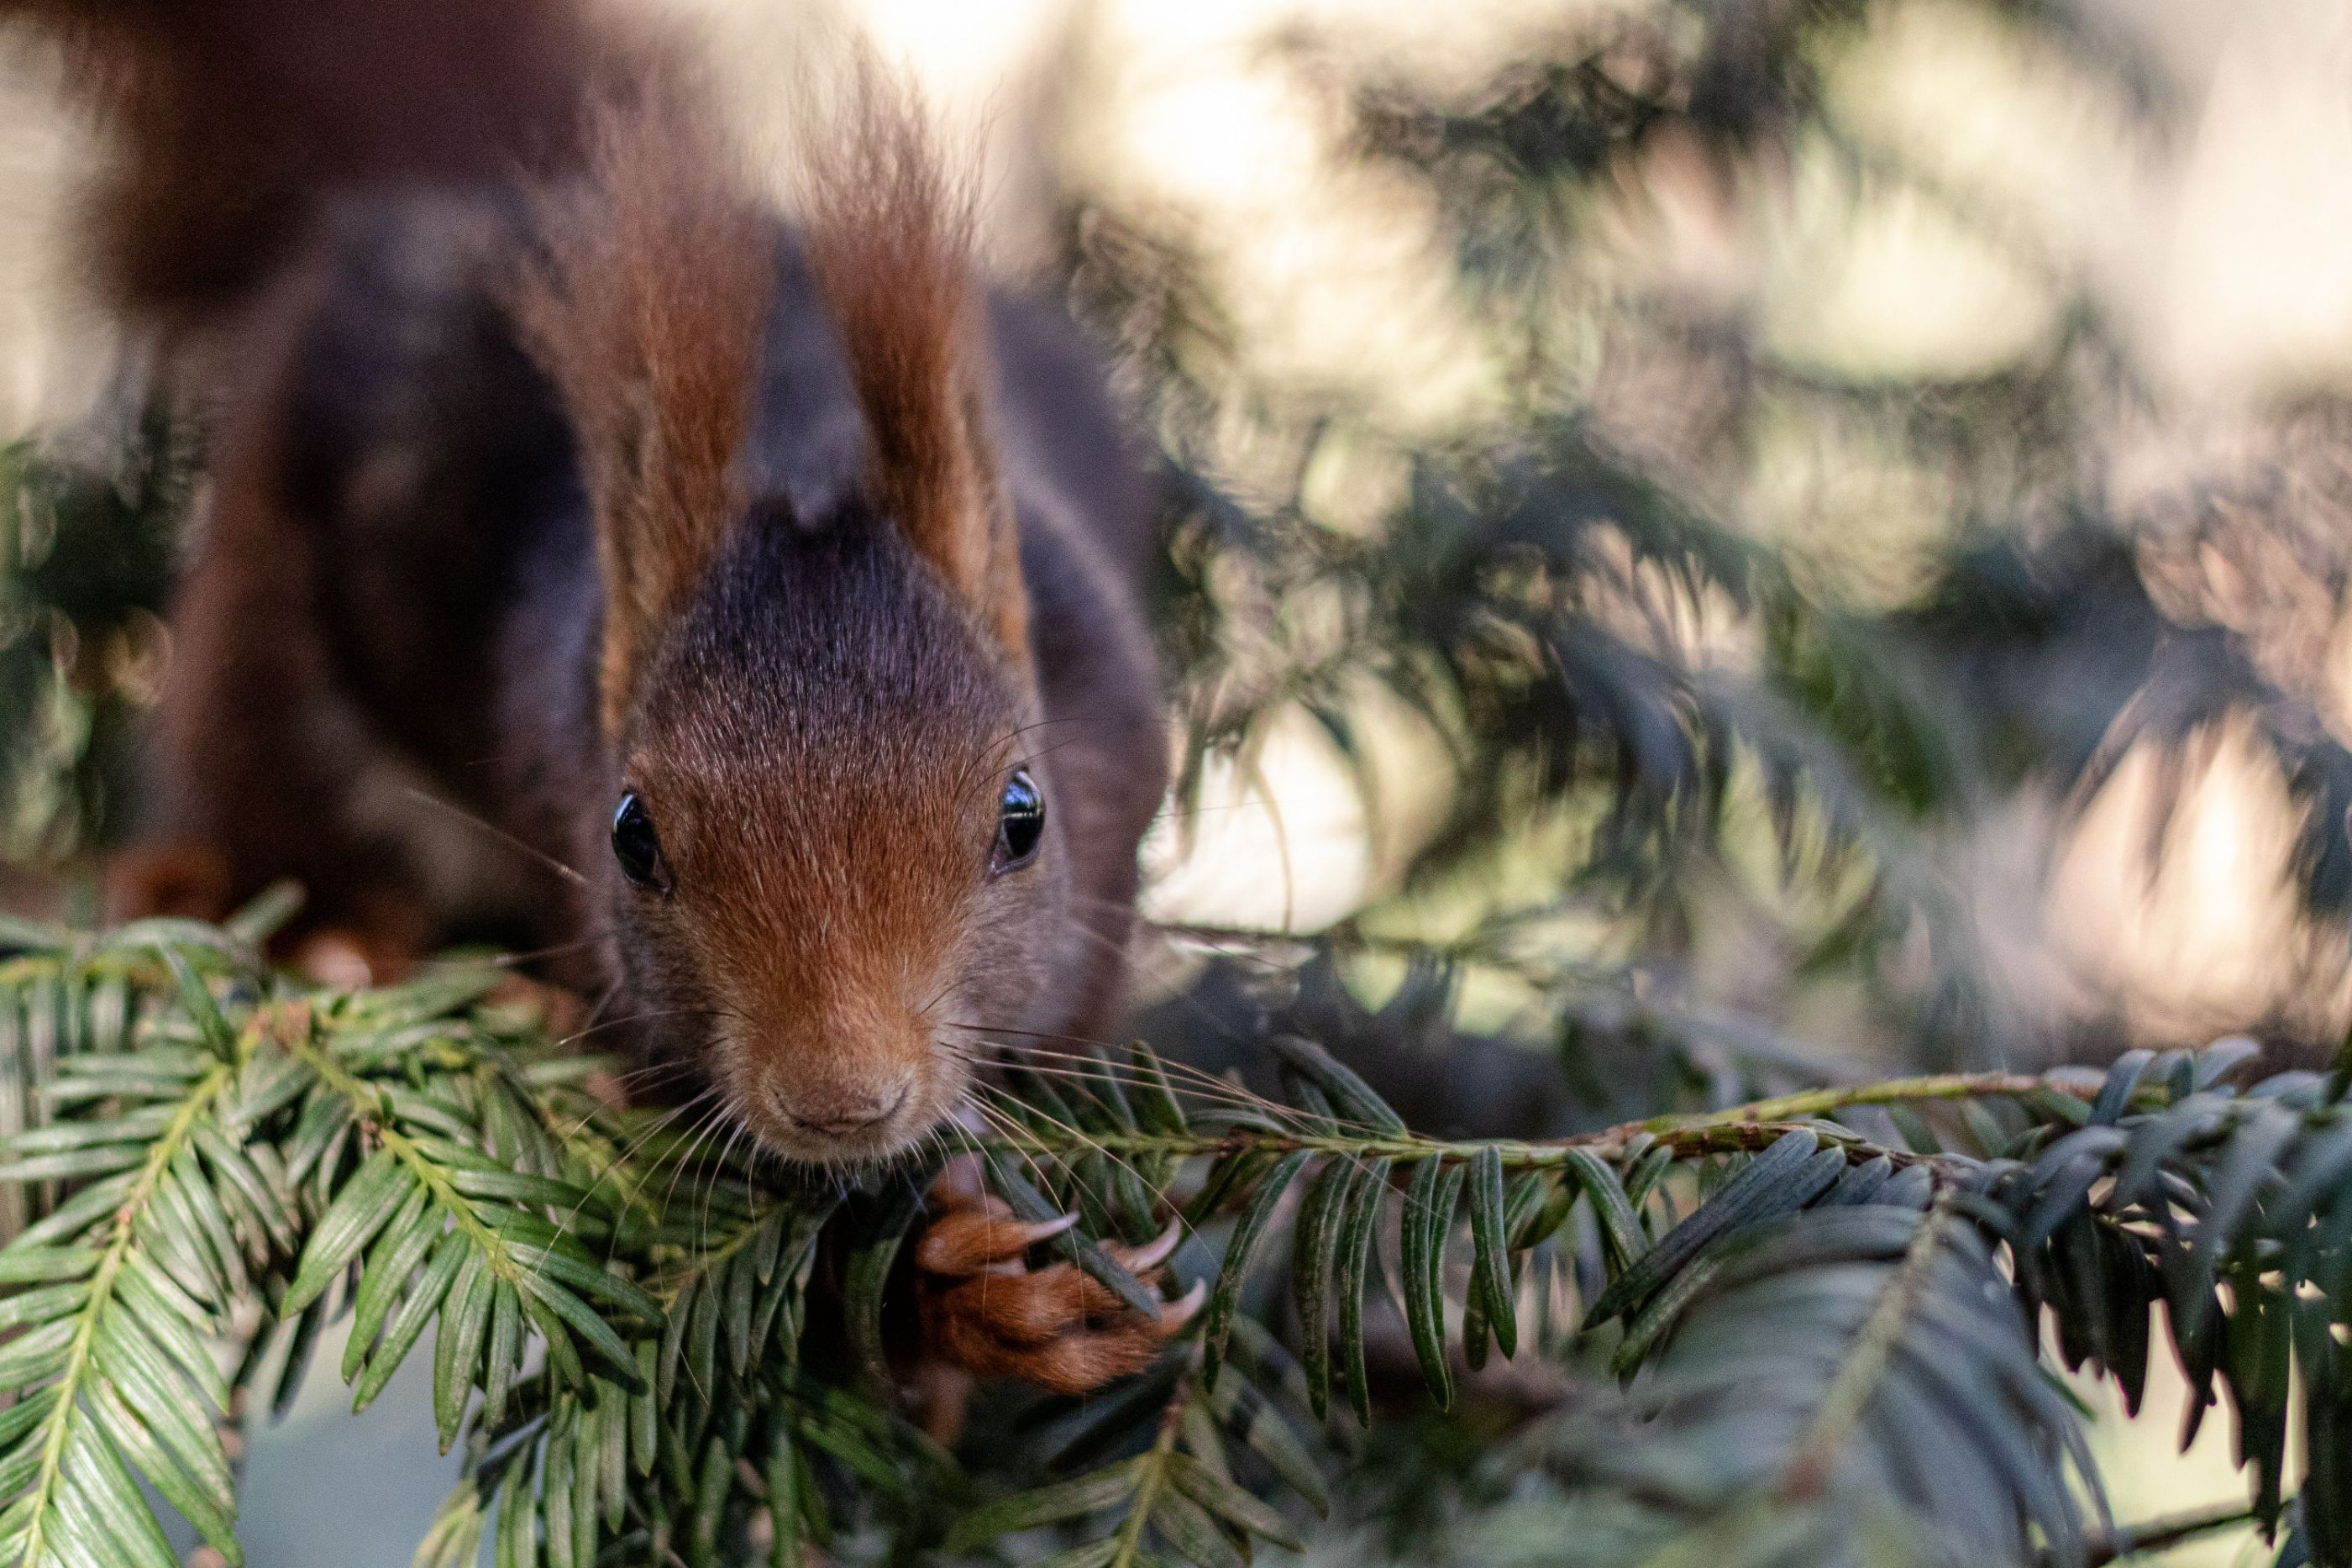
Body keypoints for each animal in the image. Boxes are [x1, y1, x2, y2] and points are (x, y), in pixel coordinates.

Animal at [16, 0, 1185, 1401]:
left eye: (1024, 815)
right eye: (632, 836)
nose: (840, 1099)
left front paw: (994, 1291)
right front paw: (961, 1288)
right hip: (267, 609)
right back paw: (317, 923)